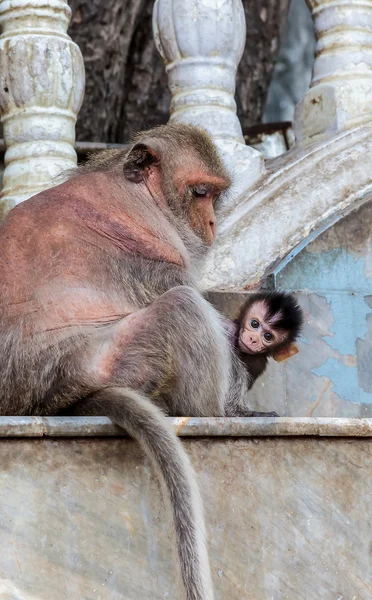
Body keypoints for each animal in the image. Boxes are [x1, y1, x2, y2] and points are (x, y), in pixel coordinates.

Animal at [0, 124, 276, 600]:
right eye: (200, 193)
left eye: (215, 196)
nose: (211, 224)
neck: (135, 190)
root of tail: (50, 400)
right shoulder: (150, 249)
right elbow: (193, 300)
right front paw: (238, 402)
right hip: (122, 362)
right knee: (182, 307)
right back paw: (213, 412)